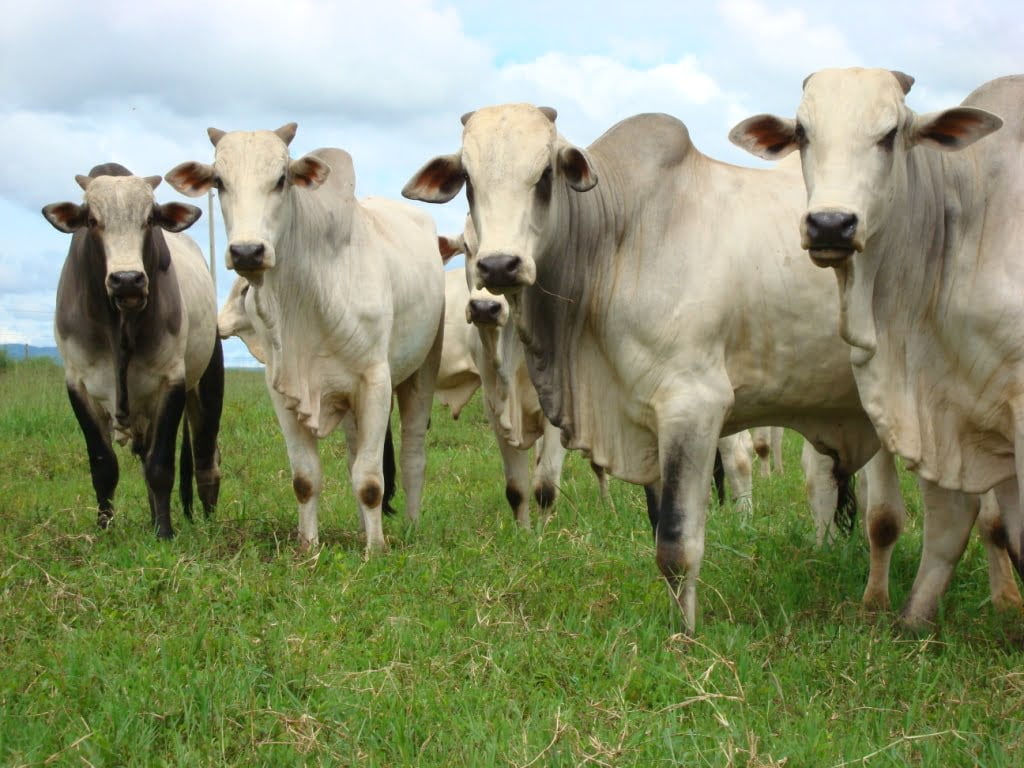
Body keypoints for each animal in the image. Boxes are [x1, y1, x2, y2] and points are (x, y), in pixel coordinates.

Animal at [41, 164, 223, 539]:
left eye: (149, 219)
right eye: (92, 220)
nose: (127, 280)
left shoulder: (171, 381)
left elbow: (161, 466)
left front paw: (164, 533)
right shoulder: (78, 384)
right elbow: (103, 467)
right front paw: (104, 530)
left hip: (206, 383)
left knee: (205, 459)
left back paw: (208, 519)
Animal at [168, 124, 444, 553]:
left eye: (281, 179)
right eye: (219, 181)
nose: (247, 251)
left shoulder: (375, 381)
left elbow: (371, 480)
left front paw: (375, 550)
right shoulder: (283, 388)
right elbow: (306, 477)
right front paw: (308, 546)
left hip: (422, 368)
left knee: (413, 451)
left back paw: (410, 526)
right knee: (353, 455)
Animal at [403, 105, 909, 631]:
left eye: (544, 174)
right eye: (467, 178)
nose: (500, 266)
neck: (619, 241)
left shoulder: (693, 407)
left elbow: (675, 543)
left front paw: (684, 636)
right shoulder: (638, 417)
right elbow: (651, 523)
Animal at [730, 69, 1024, 626]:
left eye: (890, 134)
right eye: (802, 132)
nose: (829, 224)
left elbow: (992, 522)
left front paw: (1003, 601)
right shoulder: (926, 411)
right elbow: (896, 517)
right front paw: (888, 610)